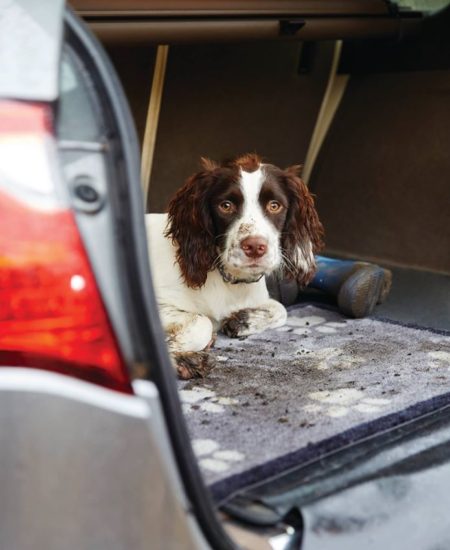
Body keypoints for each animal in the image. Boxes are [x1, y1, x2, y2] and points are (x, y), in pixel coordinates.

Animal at [147, 154, 324, 380]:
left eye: (274, 205)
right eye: (226, 205)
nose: (255, 247)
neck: (228, 280)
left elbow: (280, 309)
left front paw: (243, 320)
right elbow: (201, 323)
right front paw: (180, 358)